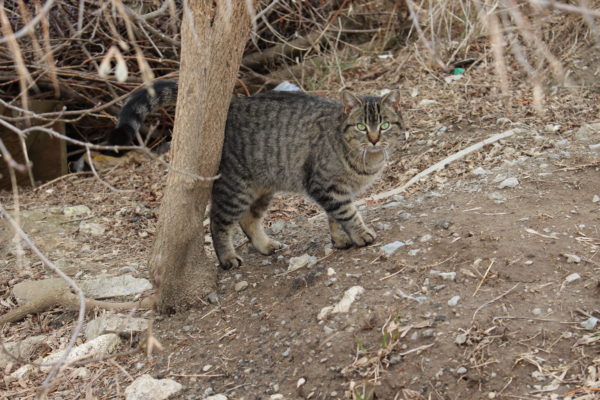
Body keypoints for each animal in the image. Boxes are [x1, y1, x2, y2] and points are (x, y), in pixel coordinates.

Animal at [112, 81, 404, 268]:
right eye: (361, 127)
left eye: (385, 125)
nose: (375, 139)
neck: (366, 158)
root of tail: (234, 102)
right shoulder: (326, 186)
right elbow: (348, 214)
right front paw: (360, 234)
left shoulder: (337, 190)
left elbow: (335, 218)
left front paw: (342, 239)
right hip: (234, 190)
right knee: (217, 222)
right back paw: (227, 258)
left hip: (263, 189)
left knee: (248, 220)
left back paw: (265, 245)